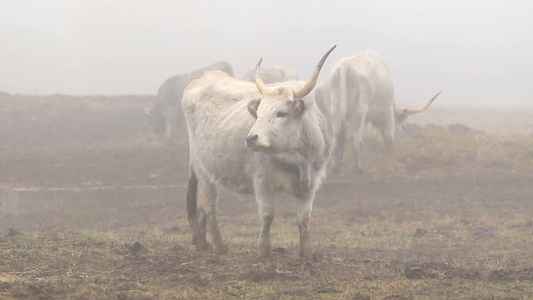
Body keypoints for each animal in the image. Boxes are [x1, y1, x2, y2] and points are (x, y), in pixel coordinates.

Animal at [181, 45, 334, 258]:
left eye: (281, 113)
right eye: (258, 113)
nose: (251, 138)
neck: (299, 160)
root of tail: (205, 77)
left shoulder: (311, 184)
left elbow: (303, 218)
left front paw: (307, 253)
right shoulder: (263, 182)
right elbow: (268, 215)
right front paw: (263, 250)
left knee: (203, 208)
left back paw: (202, 244)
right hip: (203, 171)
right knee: (210, 206)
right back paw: (219, 245)